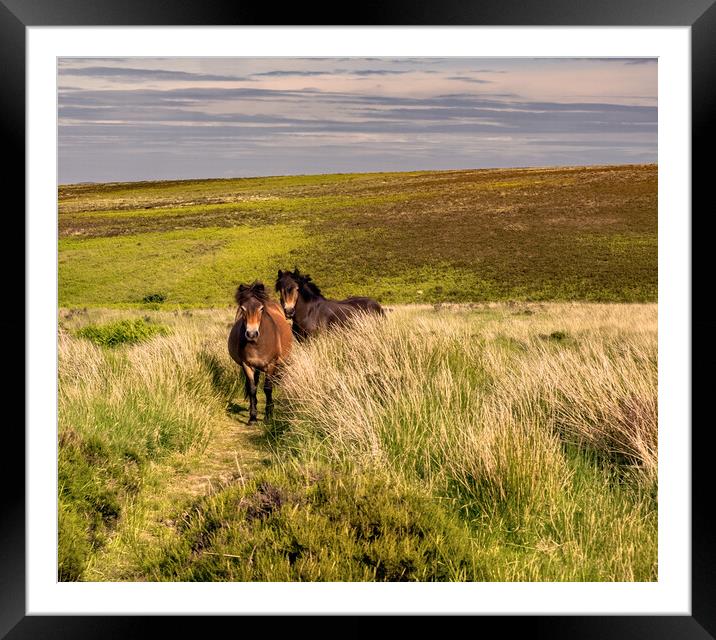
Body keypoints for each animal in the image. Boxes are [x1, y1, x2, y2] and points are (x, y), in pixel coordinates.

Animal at [225, 282, 290, 422]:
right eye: (243, 308)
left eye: (261, 308)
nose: (251, 334)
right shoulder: (247, 365)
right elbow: (252, 388)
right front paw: (253, 417)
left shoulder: (271, 364)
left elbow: (268, 388)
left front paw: (268, 415)